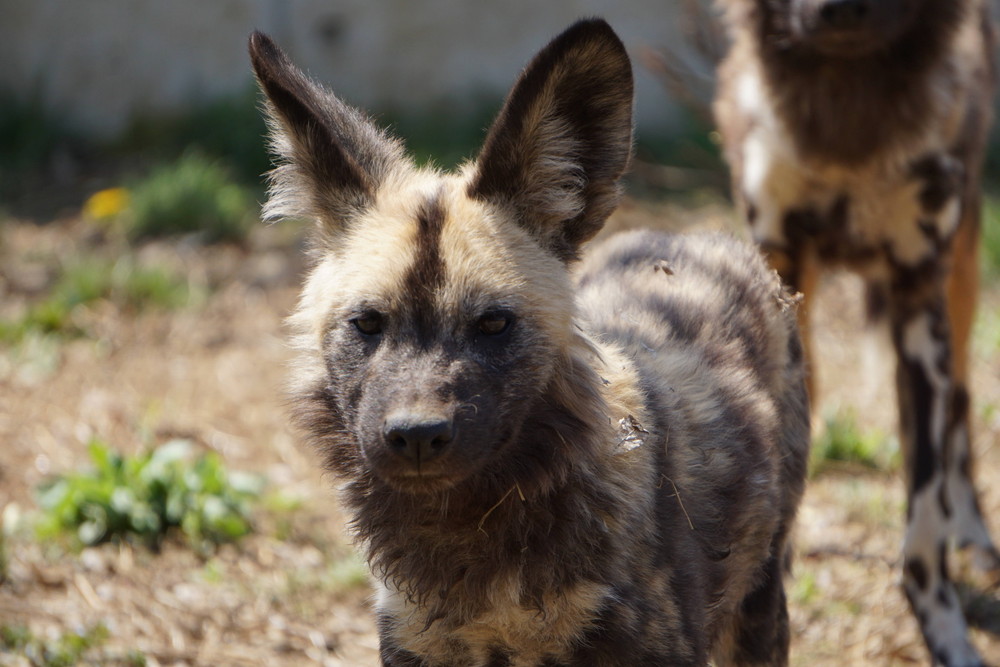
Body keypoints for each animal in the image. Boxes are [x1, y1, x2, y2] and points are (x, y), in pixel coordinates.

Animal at [716, 2, 996, 664]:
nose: (839, 7)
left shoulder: (920, 302)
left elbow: (924, 518)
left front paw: (943, 630)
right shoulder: (786, 277)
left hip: (962, 282)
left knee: (960, 405)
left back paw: (973, 530)